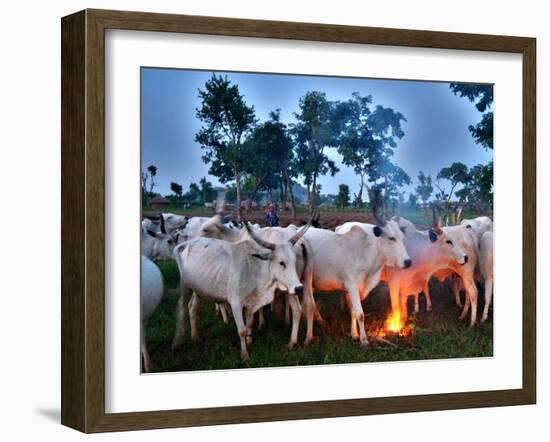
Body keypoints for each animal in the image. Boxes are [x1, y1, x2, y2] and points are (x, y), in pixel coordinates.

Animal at [172, 220, 308, 360]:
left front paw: (249, 341)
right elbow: (242, 330)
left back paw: (195, 337)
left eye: (294, 260)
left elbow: (249, 324)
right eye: (281, 262)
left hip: (198, 289)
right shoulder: (236, 303)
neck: (254, 267)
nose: (298, 288)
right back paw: (178, 341)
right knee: (183, 309)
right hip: (185, 287)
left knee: (192, 307)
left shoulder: (251, 302)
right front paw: (245, 355)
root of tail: (183, 245)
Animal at [306, 218, 414, 346]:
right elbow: (360, 314)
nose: (408, 262)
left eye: (402, 237)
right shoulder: (352, 286)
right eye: (391, 238)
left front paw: (354, 334)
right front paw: (364, 340)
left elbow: (353, 311)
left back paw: (320, 321)